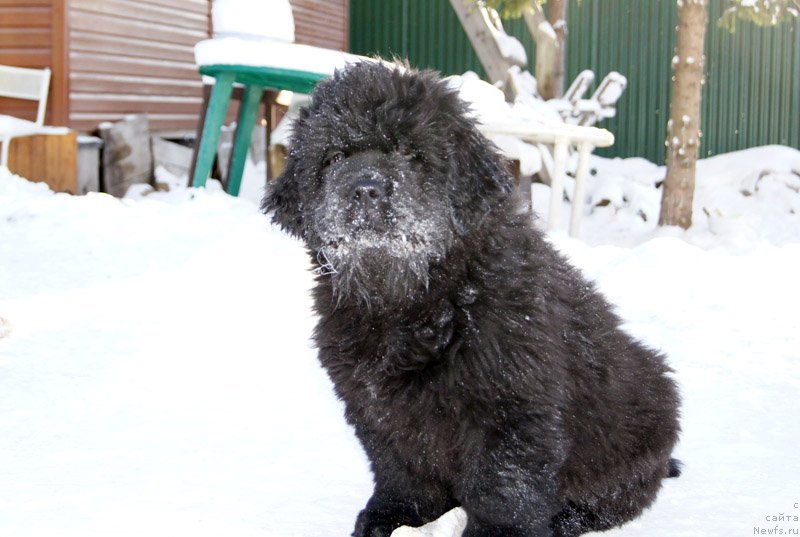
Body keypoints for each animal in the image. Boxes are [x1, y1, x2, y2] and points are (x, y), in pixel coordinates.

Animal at [264, 63, 680, 536]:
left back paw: (568, 518)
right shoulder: (375, 406)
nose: (366, 189)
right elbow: (401, 469)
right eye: (334, 158)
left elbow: (502, 486)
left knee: (617, 497)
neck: (411, 302)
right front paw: (391, 516)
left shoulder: (510, 405)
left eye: (409, 152)